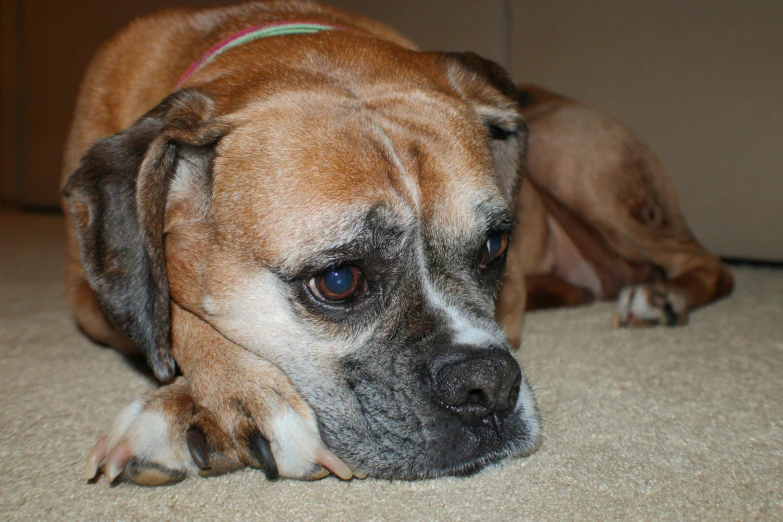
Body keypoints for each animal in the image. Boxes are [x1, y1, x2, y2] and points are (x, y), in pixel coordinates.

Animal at [61, 2, 736, 486]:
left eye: (496, 246)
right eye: (338, 281)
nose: (488, 386)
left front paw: (195, 405)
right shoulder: (87, 295)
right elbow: (168, 314)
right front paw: (232, 392)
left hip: (581, 161)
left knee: (706, 263)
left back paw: (660, 297)